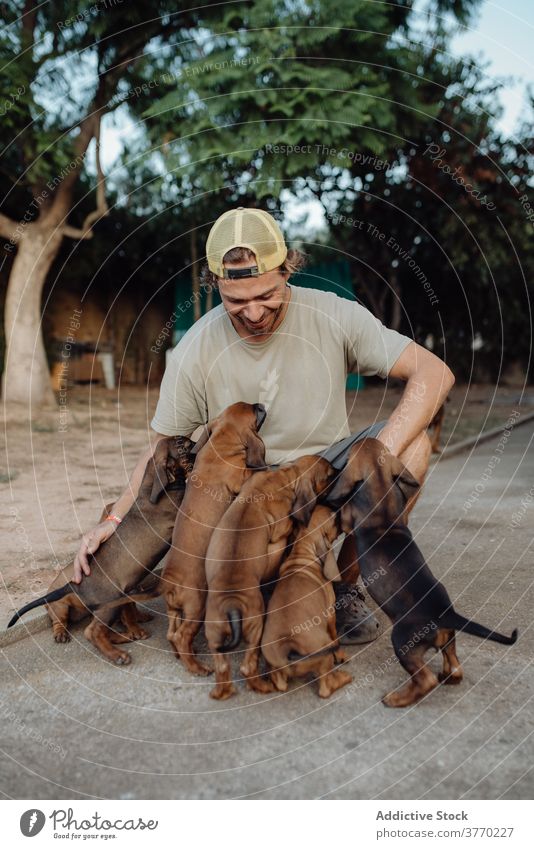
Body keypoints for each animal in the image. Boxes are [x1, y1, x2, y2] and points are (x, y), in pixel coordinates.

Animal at [7, 438, 195, 664]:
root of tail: (73, 585)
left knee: (103, 630)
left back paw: (124, 637)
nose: (199, 446)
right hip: (106, 604)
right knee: (91, 631)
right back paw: (117, 654)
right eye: (184, 446)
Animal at [161, 400, 266, 672]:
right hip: (196, 606)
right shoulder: (241, 478)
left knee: (171, 634)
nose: (261, 404)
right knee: (181, 636)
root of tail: (170, 582)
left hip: (176, 611)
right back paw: (197, 667)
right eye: (255, 411)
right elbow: (252, 472)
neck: (220, 445)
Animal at [262, 504, 354, 696]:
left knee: (280, 684)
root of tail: (289, 647)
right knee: (325, 688)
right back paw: (343, 678)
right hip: (324, 657)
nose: (338, 508)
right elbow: (336, 637)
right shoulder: (330, 614)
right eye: (333, 518)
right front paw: (341, 655)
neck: (302, 552)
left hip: (276, 670)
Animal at [326, 440, 520, 704]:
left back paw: (395, 699)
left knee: (425, 680)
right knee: (455, 667)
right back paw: (447, 677)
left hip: (403, 641)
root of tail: (446, 613)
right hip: (448, 638)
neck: (381, 495)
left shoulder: (349, 520)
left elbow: (344, 515)